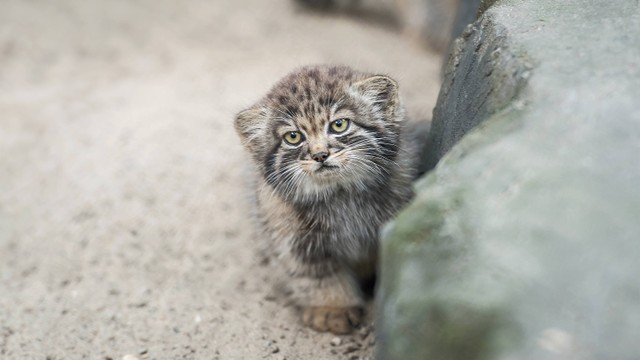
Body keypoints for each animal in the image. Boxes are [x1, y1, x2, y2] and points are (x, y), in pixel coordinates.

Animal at [235, 64, 416, 334]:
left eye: (339, 125)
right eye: (293, 137)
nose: (320, 155)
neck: (340, 196)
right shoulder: (295, 242)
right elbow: (319, 276)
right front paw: (333, 308)